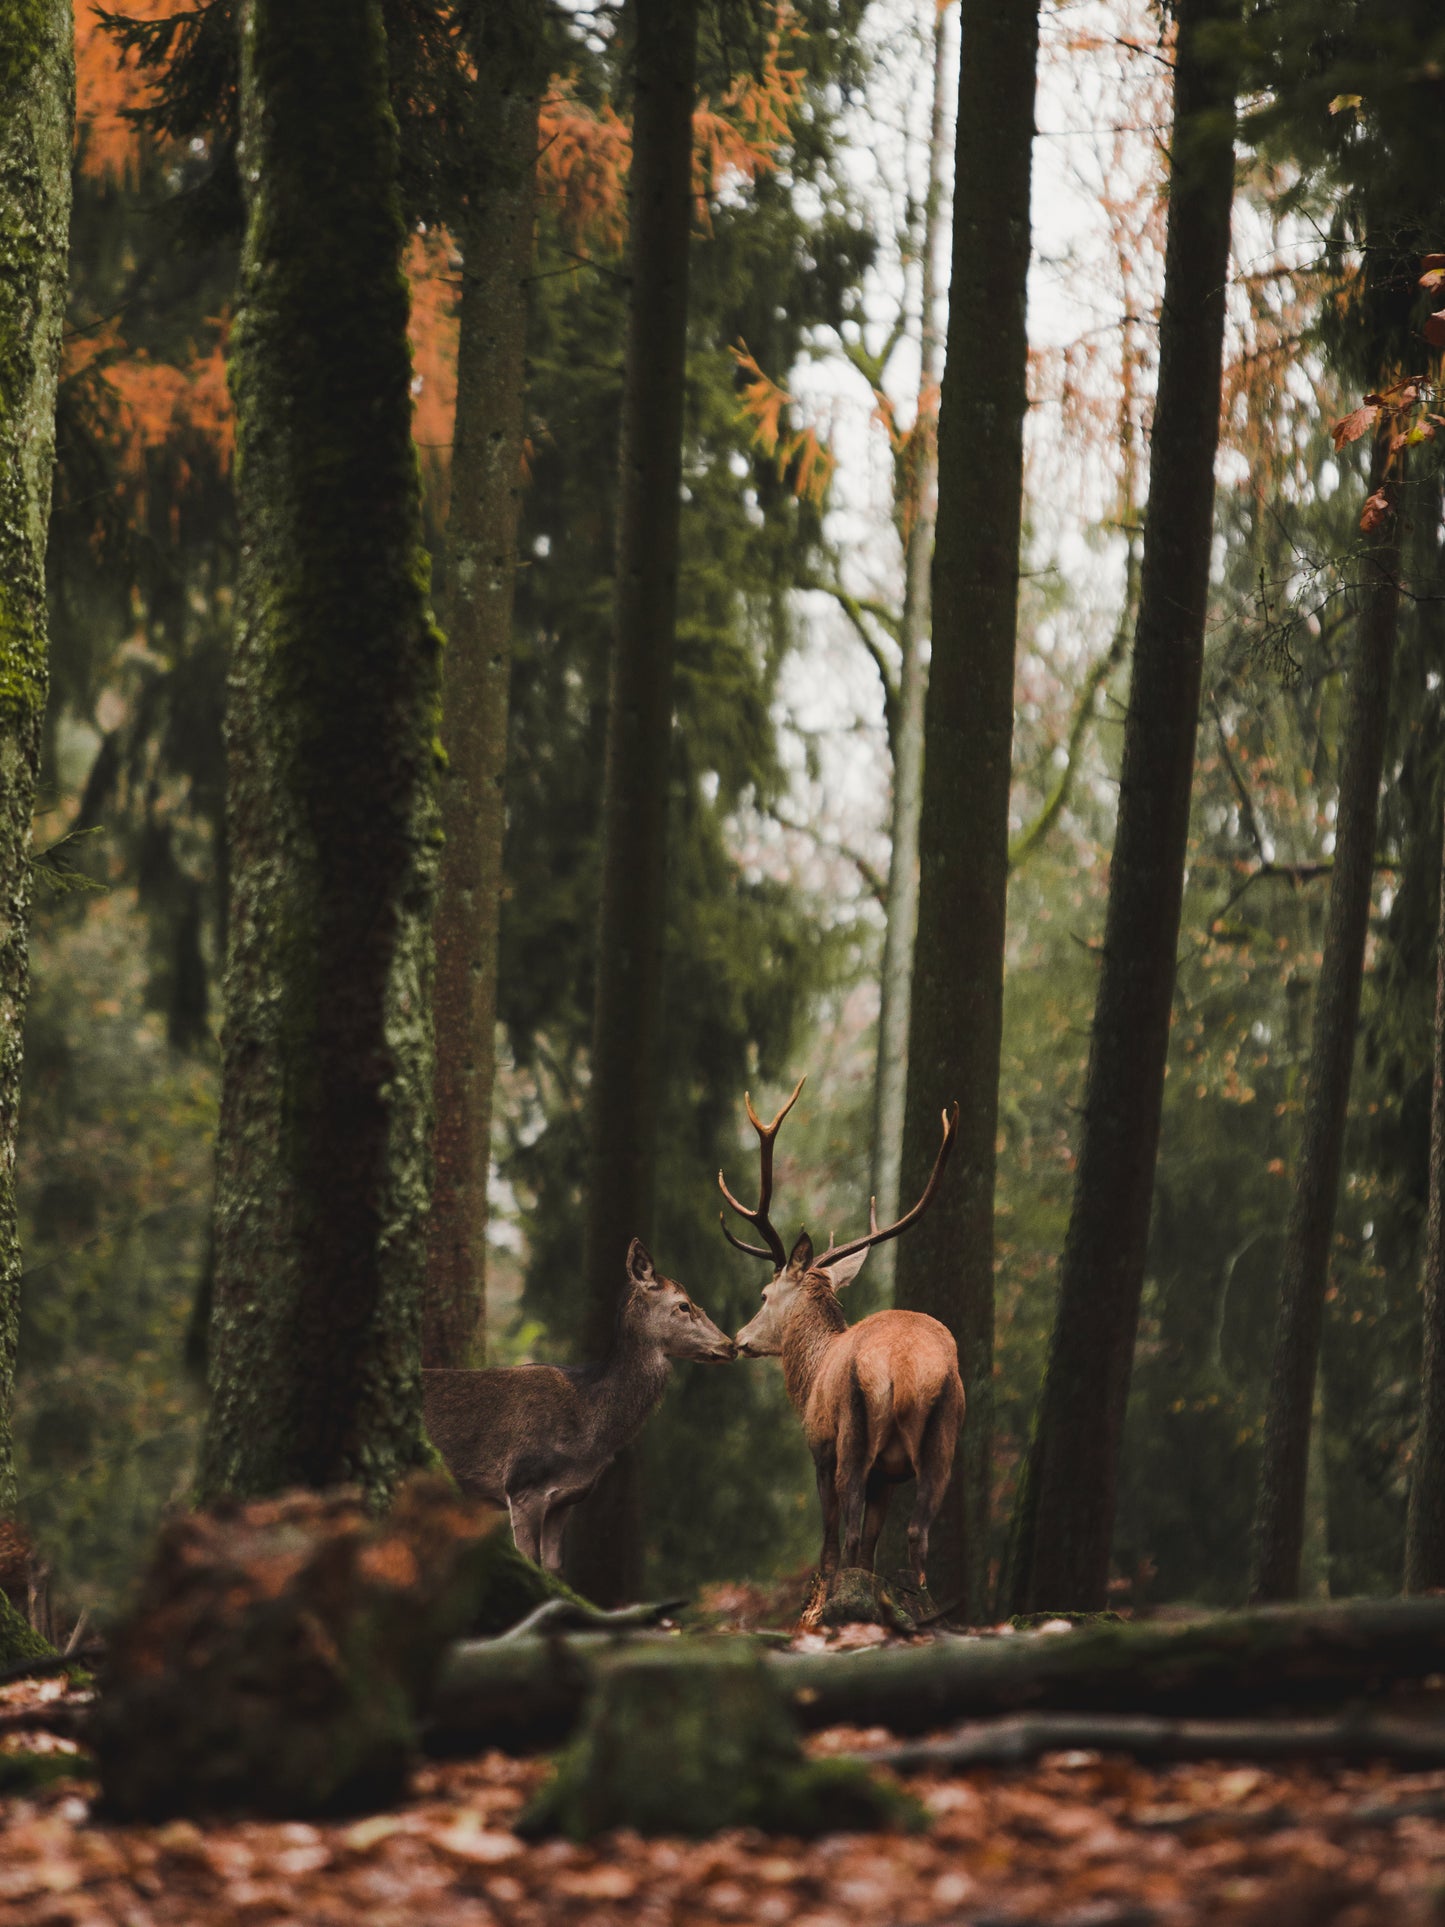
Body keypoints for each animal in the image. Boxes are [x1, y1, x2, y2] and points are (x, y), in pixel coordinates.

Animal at [422, 1237, 734, 1572]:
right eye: (684, 1304)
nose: (730, 1345)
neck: (587, 1428)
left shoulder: (566, 1500)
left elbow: (554, 1570)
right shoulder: (522, 1485)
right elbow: (531, 1562)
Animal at [721, 1077, 963, 1592]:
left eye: (764, 1294)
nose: (739, 1338)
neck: (811, 1374)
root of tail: (905, 1370)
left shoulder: (818, 1446)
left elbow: (832, 1540)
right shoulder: (887, 1478)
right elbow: (871, 1546)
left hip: (853, 1432)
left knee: (848, 1532)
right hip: (945, 1433)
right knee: (917, 1533)